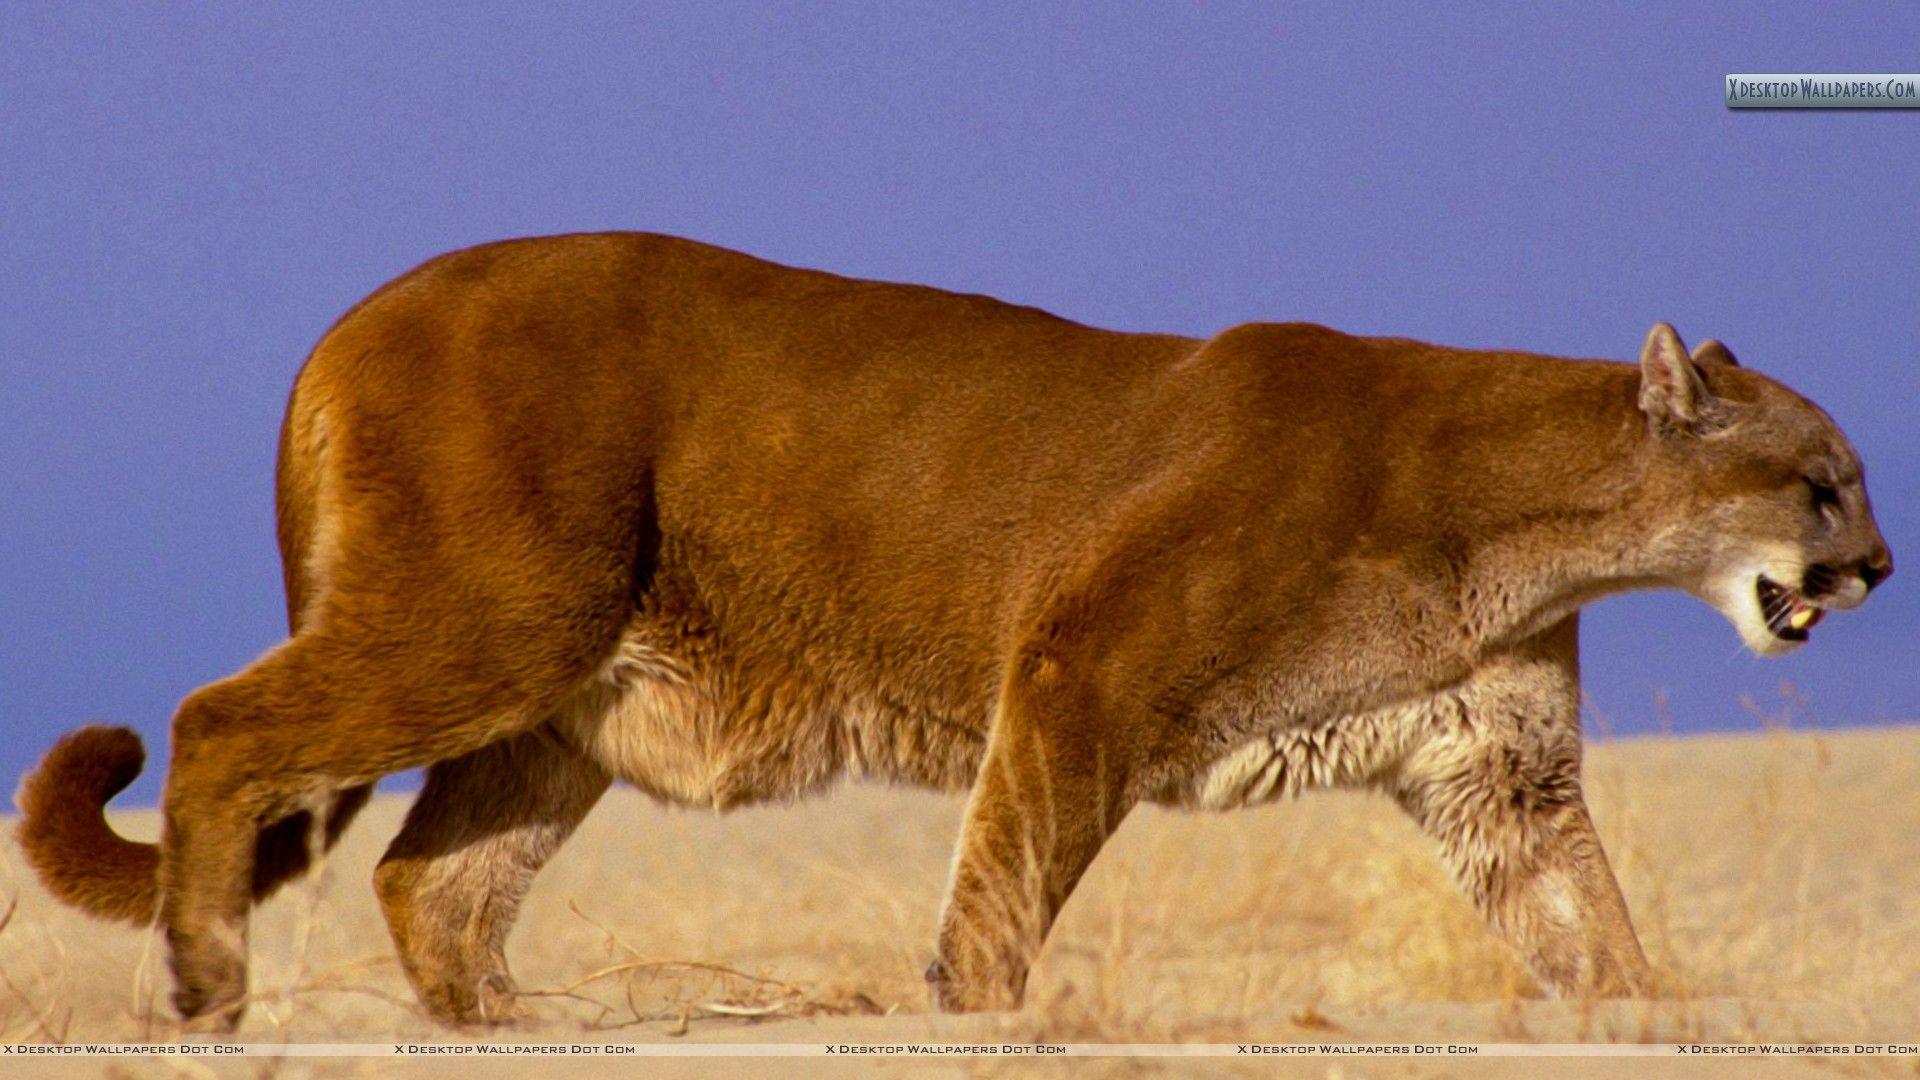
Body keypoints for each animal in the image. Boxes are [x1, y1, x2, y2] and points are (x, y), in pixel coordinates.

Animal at [15, 233, 1892, 1030]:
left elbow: (1592, 925)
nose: (1879, 567)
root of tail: (360, 306)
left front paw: (1653, 1018)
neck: (1527, 527)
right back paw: (206, 992)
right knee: (220, 726)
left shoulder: (1498, 773)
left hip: (559, 694)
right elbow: (1000, 899)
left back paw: (517, 1031)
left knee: (430, 876)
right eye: (1822, 484)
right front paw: (974, 1020)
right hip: (489, 617)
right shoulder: (1077, 675)